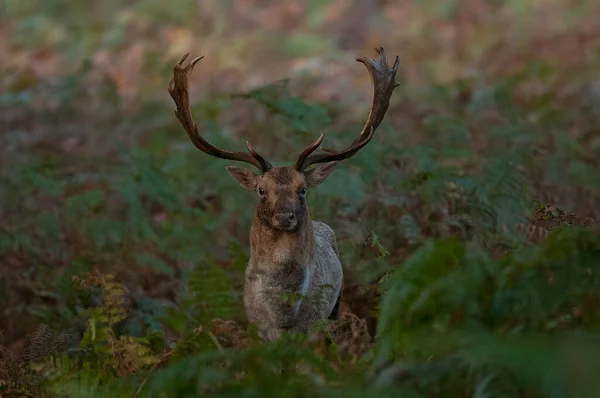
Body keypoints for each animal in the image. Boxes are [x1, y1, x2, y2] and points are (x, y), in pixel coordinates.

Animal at [168, 47, 398, 342]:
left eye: (303, 189)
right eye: (261, 190)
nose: (285, 216)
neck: (284, 316)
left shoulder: (313, 323)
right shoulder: (259, 328)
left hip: (335, 306)